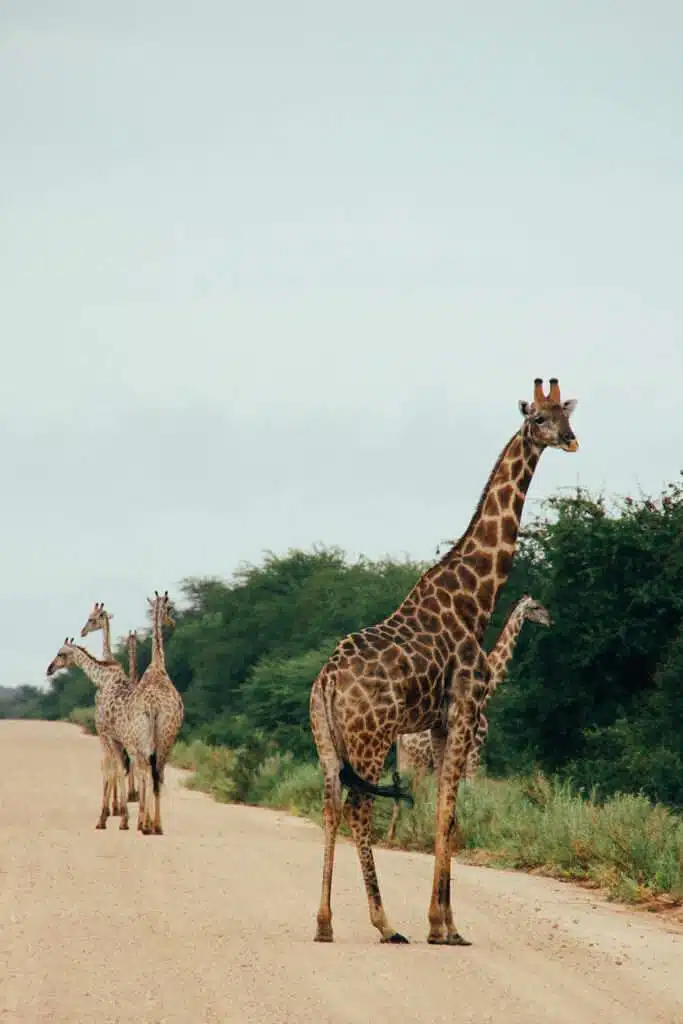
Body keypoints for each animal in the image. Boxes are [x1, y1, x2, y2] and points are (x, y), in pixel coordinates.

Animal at [386, 594, 552, 841]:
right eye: (536, 607)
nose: (550, 620)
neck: (487, 694)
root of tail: (401, 736)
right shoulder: (475, 750)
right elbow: (469, 790)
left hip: (407, 758)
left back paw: (394, 834)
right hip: (418, 760)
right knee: (413, 789)